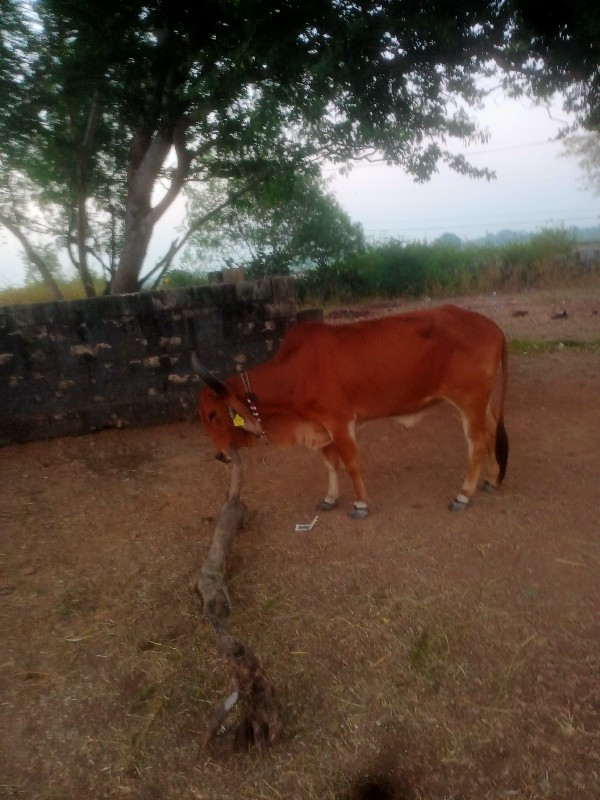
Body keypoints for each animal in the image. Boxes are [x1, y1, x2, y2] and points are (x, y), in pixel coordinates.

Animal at [195, 304, 508, 520]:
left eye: (213, 415)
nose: (220, 456)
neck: (296, 371)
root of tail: (494, 328)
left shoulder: (340, 422)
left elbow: (351, 463)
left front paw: (360, 504)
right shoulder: (319, 427)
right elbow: (330, 464)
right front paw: (330, 498)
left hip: (469, 401)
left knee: (477, 443)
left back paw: (463, 495)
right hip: (482, 402)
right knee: (492, 432)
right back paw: (492, 480)